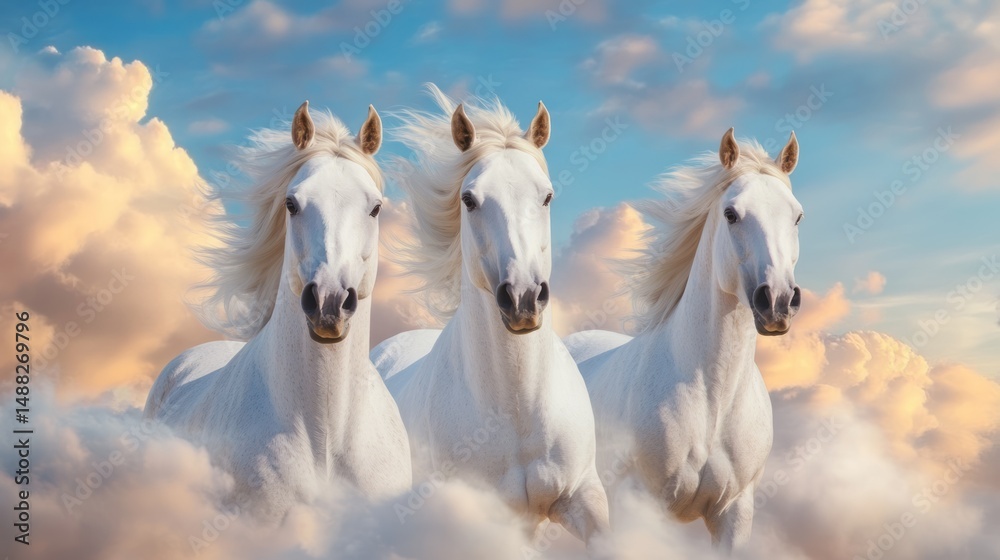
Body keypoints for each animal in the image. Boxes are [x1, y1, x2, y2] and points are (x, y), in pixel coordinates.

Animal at [563, 128, 803, 551]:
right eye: (731, 214)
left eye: (797, 216)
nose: (777, 301)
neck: (711, 401)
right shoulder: (640, 507)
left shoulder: (734, 513)